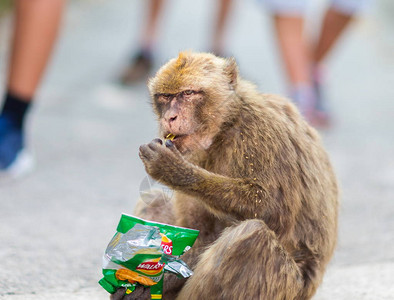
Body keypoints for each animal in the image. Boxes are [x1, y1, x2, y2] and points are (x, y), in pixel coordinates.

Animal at [111, 52, 338, 300]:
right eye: (165, 97)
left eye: (188, 94)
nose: (170, 117)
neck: (225, 125)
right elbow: (200, 231)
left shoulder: (260, 132)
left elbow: (275, 212)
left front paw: (174, 171)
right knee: (154, 199)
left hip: (288, 288)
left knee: (252, 236)